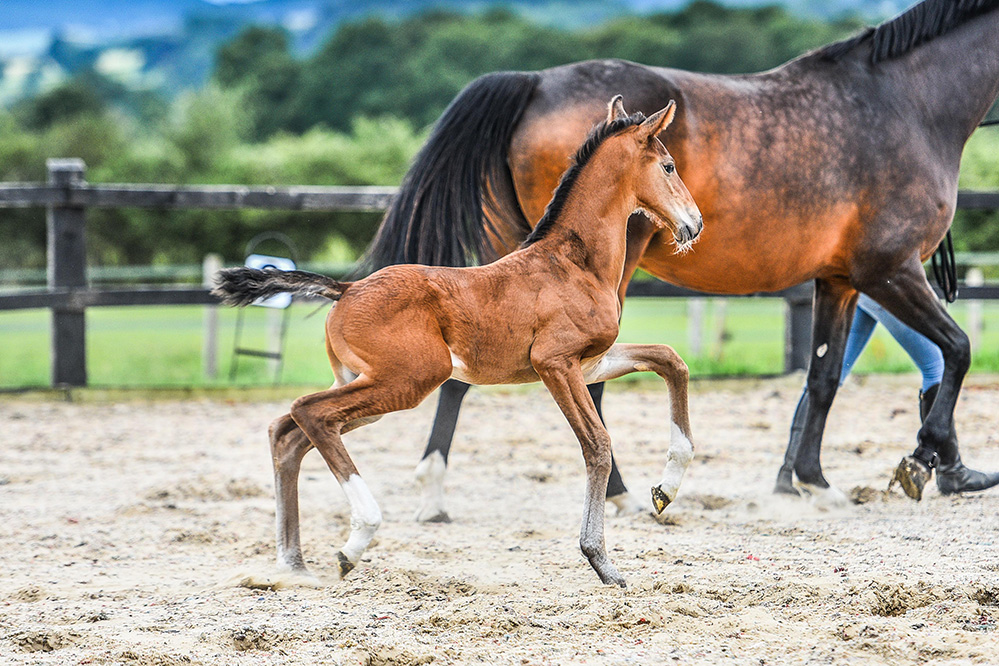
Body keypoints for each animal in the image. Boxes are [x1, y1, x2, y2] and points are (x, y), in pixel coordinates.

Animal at [217, 98, 704, 588]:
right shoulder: (555, 364)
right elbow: (598, 446)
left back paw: (292, 564)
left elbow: (671, 361)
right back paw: (354, 543)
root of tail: (346, 289)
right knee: (308, 412)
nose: (695, 224)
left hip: (365, 386)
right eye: (669, 166)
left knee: (289, 433)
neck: (574, 264)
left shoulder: (591, 363)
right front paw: (602, 561)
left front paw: (664, 492)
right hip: (408, 380)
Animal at [366, 0, 999, 512]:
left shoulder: (841, 280)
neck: (906, 104)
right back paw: (609, 493)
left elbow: (822, 378)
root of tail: (535, 82)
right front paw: (922, 460)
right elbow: (959, 349)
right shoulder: (890, 268)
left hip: (513, 255)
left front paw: (815, 482)